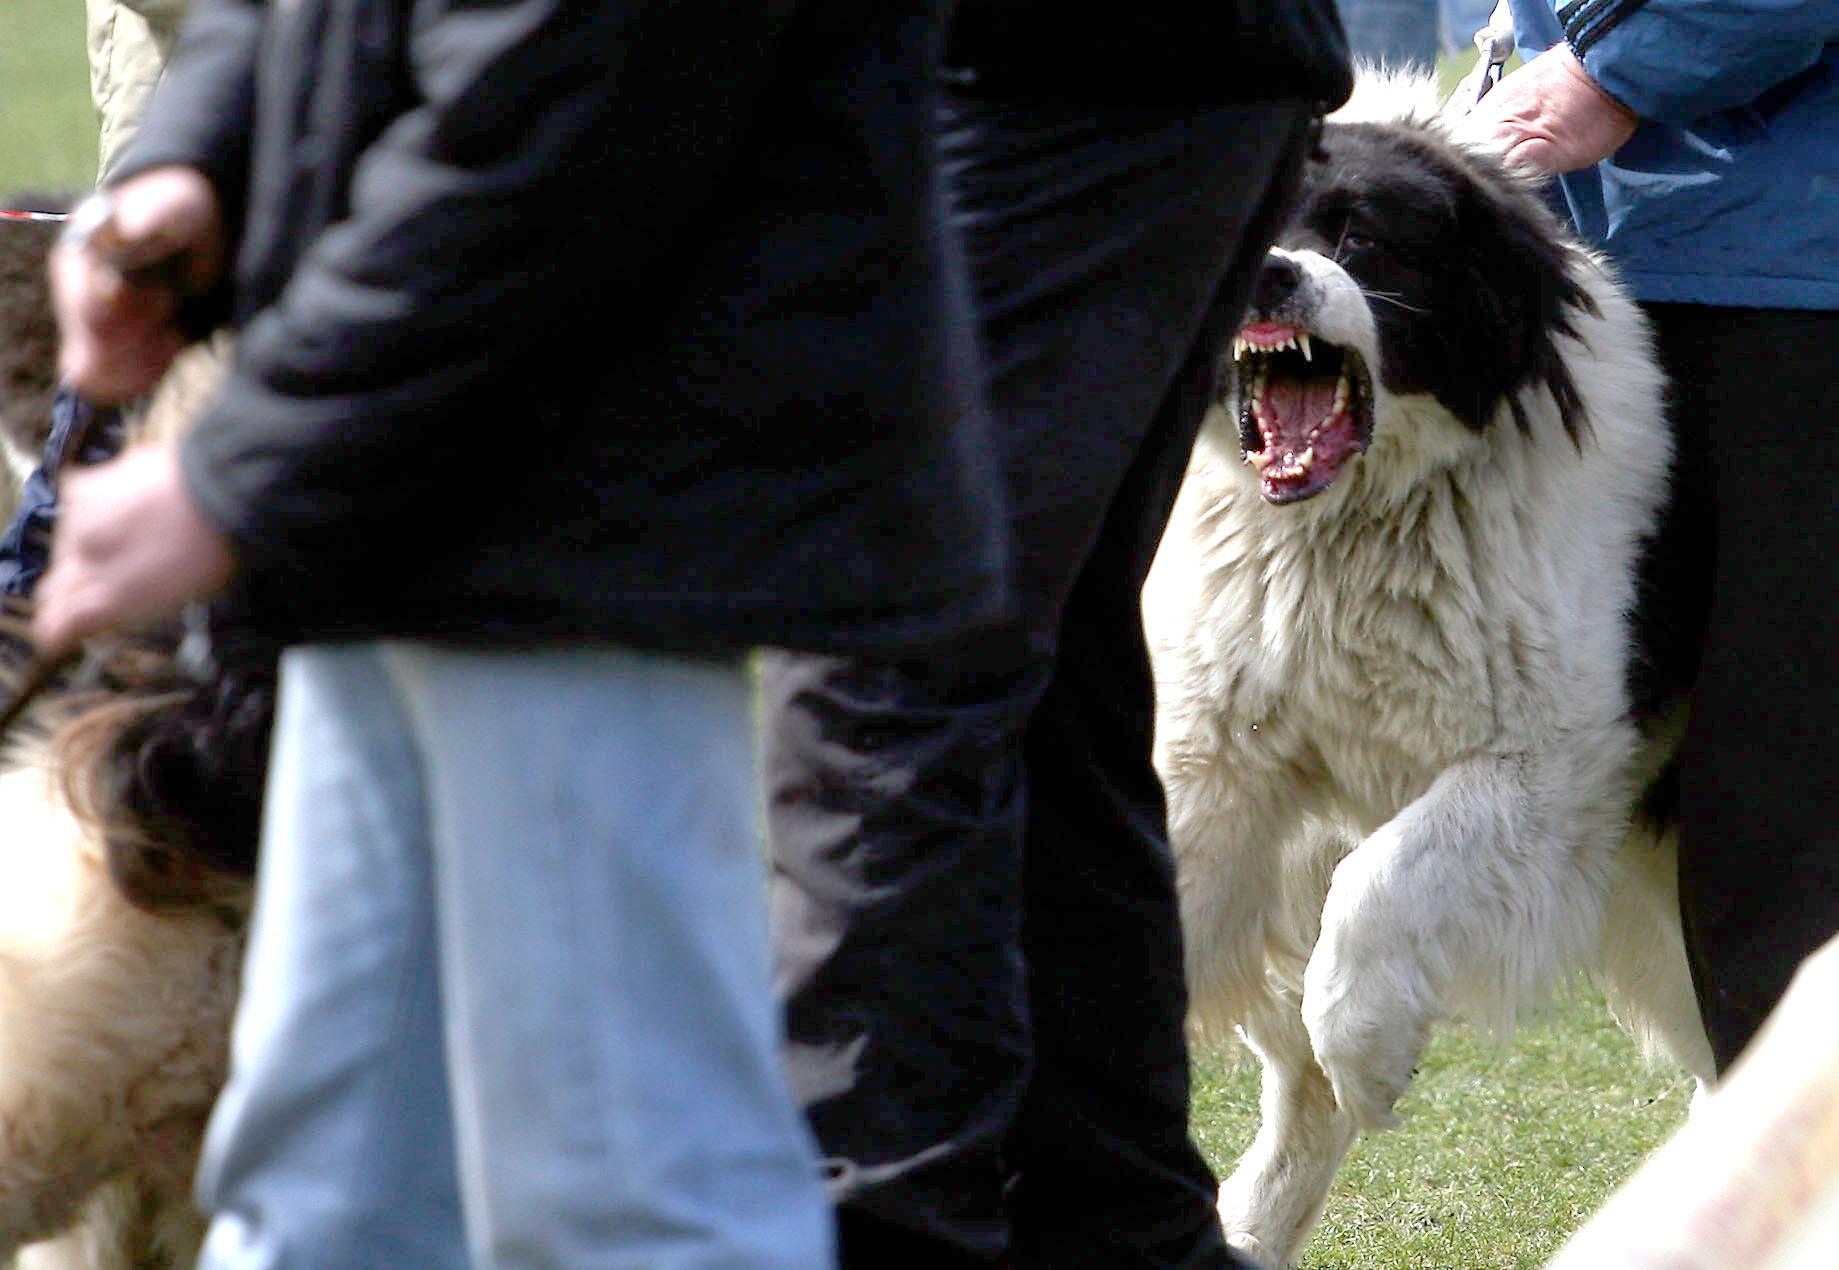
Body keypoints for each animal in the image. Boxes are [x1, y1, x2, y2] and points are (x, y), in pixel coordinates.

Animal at [1147, 74, 1721, 1264]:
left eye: (1361, 236)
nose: (1271, 274)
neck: (1350, 532)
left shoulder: (1540, 770)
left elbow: (1377, 891)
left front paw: (1372, 1054)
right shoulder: (1212, 767)